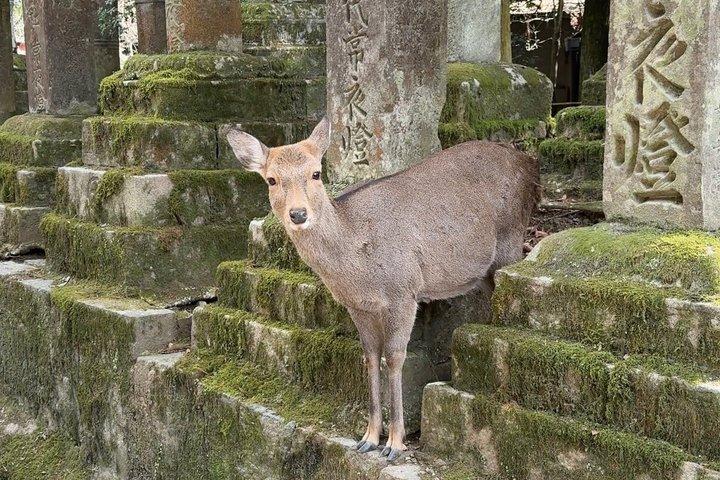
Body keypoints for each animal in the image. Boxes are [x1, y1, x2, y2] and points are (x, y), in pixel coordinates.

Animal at [227, 118, 539, 461]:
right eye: (271, 179)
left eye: (316, 173)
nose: (298, 214)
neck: (356, 266)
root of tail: (528, 163)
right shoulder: (358, 305)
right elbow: (370, 356)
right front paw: (369, 437)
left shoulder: (404, 292)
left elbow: (394, 357)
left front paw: (395, 442)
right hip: (483, 272)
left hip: (511, 241)